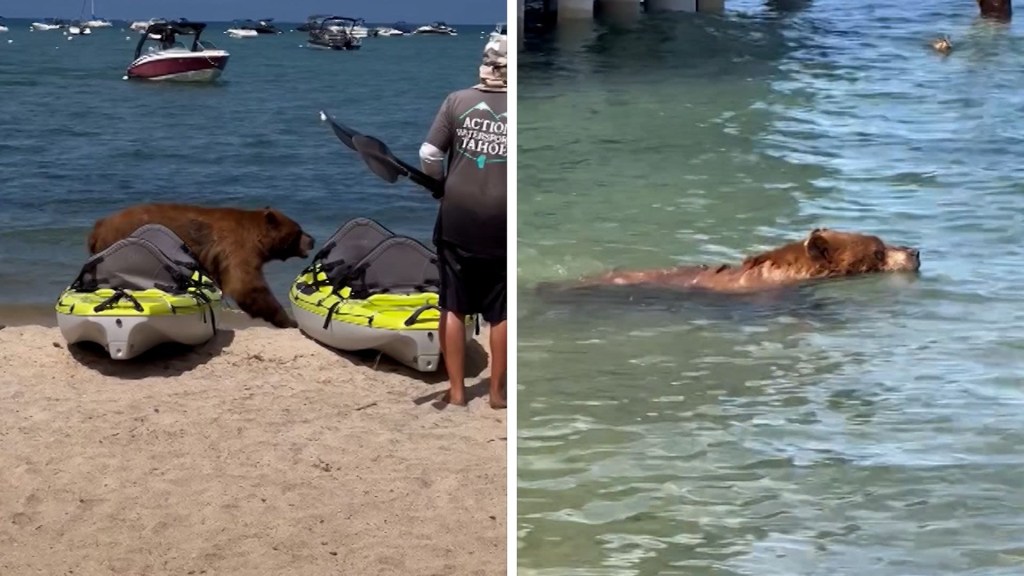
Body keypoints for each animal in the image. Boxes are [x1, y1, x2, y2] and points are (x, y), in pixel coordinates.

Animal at [86, 201, 313, 327]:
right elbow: (246, 285)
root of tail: (99, 226)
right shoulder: (236, 248)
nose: (312, 239)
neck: (256, 238)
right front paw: (288, 320)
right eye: (299, 230)